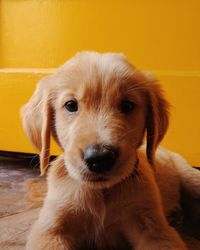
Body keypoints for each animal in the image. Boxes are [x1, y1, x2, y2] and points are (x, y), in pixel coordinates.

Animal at [21, 51, 199, 249]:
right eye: (70, 105)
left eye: (127, 105)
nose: (99, 158)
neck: (102, 193)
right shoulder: (49, 229)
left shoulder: (154, 229)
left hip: (191, 178)